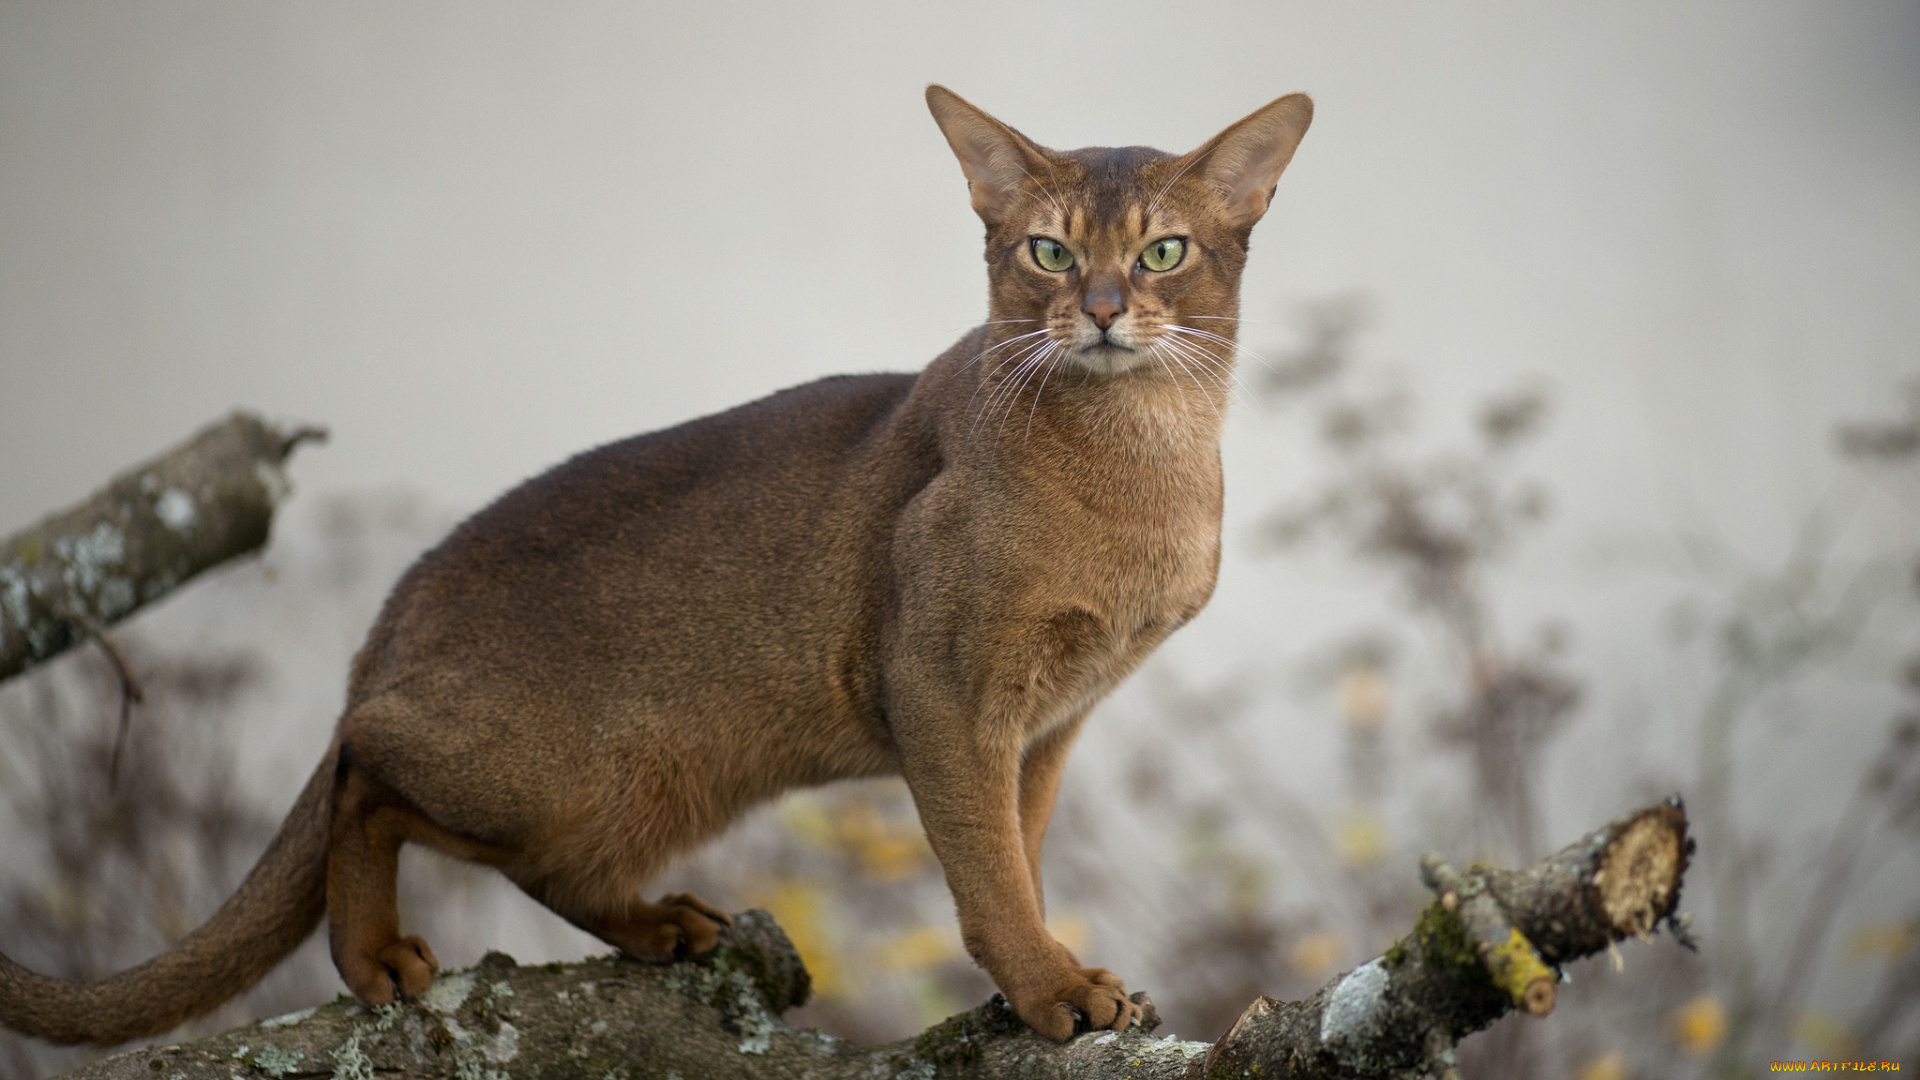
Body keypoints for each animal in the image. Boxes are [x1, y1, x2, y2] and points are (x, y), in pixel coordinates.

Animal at [0, 84, 1305, 1045]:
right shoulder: (942, 688)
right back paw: (373, 955)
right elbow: (985, 868)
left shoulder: (1048, 723)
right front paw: (1049, 990)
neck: (1142, 467)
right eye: (1047, 252)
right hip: (542, 766)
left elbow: (1016, 856)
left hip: (633, 788)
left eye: (1164, 252)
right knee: (363, 774)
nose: (1101, 310)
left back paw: (657, 924)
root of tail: (397, 611)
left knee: (530, 862)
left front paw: (1033, 979)